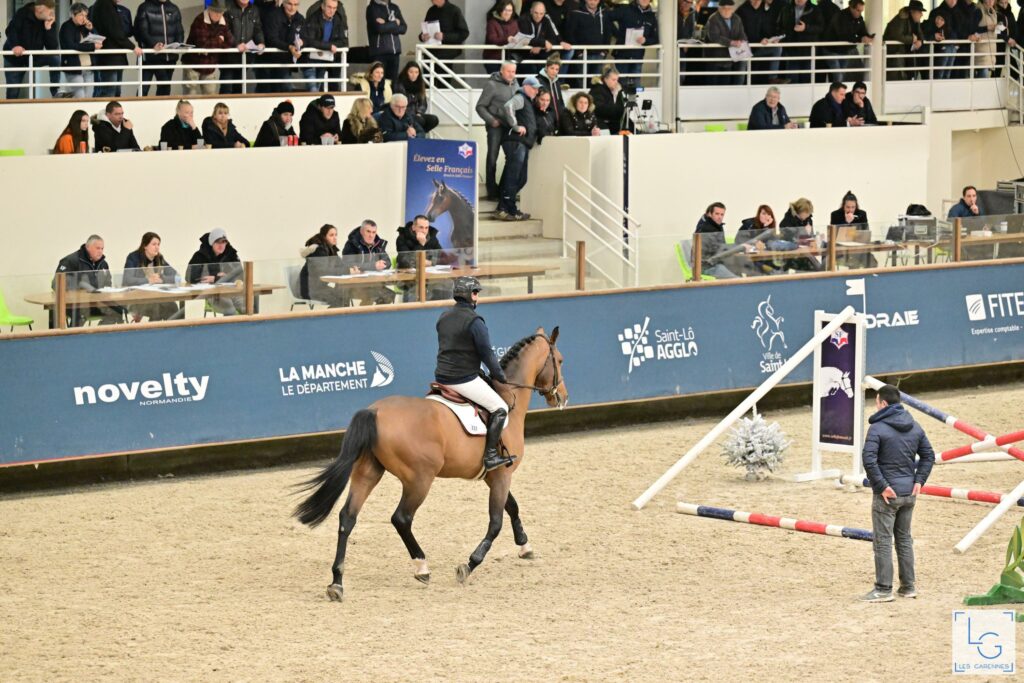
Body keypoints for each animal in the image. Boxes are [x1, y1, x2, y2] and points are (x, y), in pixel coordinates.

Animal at [293, 327, 567, 601]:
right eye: (560, 360)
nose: (563, 397)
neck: (507, 399)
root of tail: (375, 412)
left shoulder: (495, 476)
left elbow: (512, 507)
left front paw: (525, 546)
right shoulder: (502, 475)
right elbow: (496, 522)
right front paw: (469, 564)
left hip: (367, 473)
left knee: (348, 518)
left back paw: (337, 582)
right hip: (419, 480)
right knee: (401, 519)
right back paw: (422, 567)